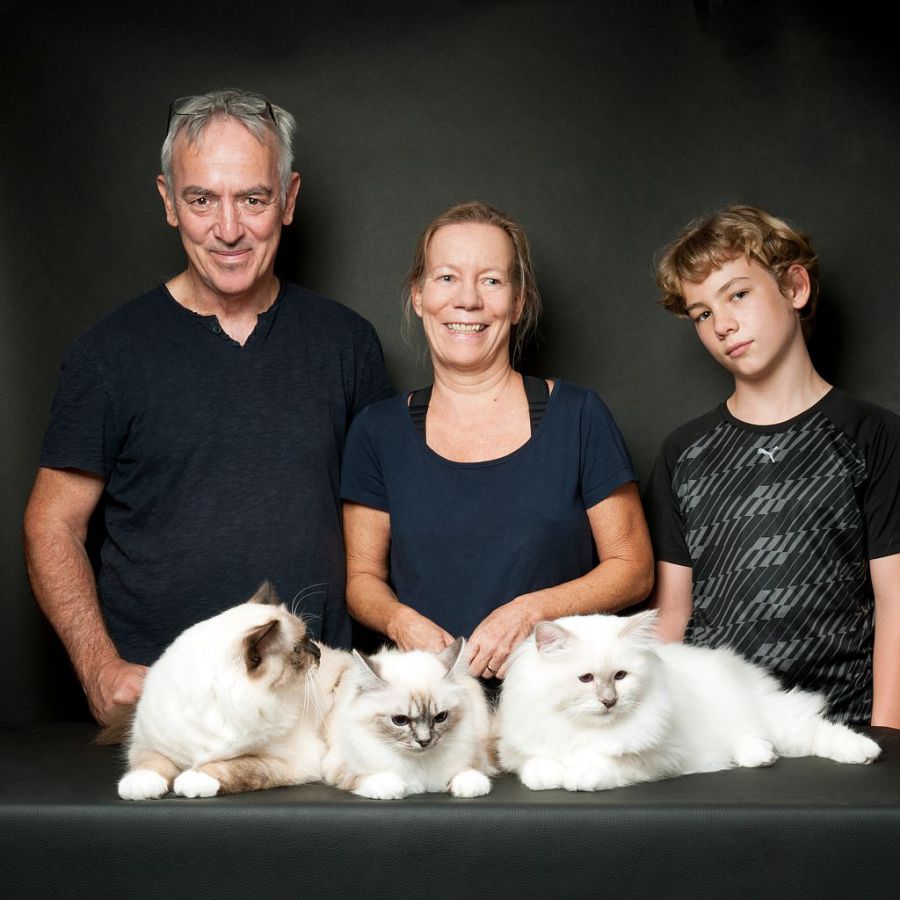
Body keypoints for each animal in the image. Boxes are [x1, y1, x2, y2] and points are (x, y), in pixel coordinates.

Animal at [115, 581, 351, 799]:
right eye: (298, 648)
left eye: (308, 639)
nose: (318, 652)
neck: (215, 706)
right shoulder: (147, 745)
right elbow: (149, 763)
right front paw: (139, 785)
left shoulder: (292, 759)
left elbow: (240, 767)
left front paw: (192, 780)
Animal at [322, 638, 494, 799]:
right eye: (400, 720)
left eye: (440, 717)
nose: (424, 741)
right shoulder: (338, 765)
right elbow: (360, 777)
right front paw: (391, 787)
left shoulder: (475, 755)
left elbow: (469, 770)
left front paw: (471, 785)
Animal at [496, 610, 881, 792]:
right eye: (586, 679)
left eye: (620, 676)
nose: (608, 702)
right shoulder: (527, 750)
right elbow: (538, 766)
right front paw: (551, 777)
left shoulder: (660, 757)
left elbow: (604, 761)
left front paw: (580, 776)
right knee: (751, 742)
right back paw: (759, 756)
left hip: (781, 723)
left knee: (818, 731)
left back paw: (866, 752)